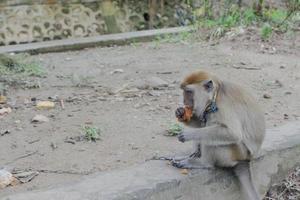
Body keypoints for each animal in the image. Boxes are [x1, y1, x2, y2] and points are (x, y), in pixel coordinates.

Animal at [173, 70, 264, 200]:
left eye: (189, 92)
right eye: (184, 91)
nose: (185, 102)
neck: (215, 95)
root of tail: (246, 159)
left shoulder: (223, 106)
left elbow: (233, 133)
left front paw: (188, 134)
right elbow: (200, 121)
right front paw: (181, 113)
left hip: (236, 153)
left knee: (212, 135)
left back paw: (202, 162)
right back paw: (194, 154)